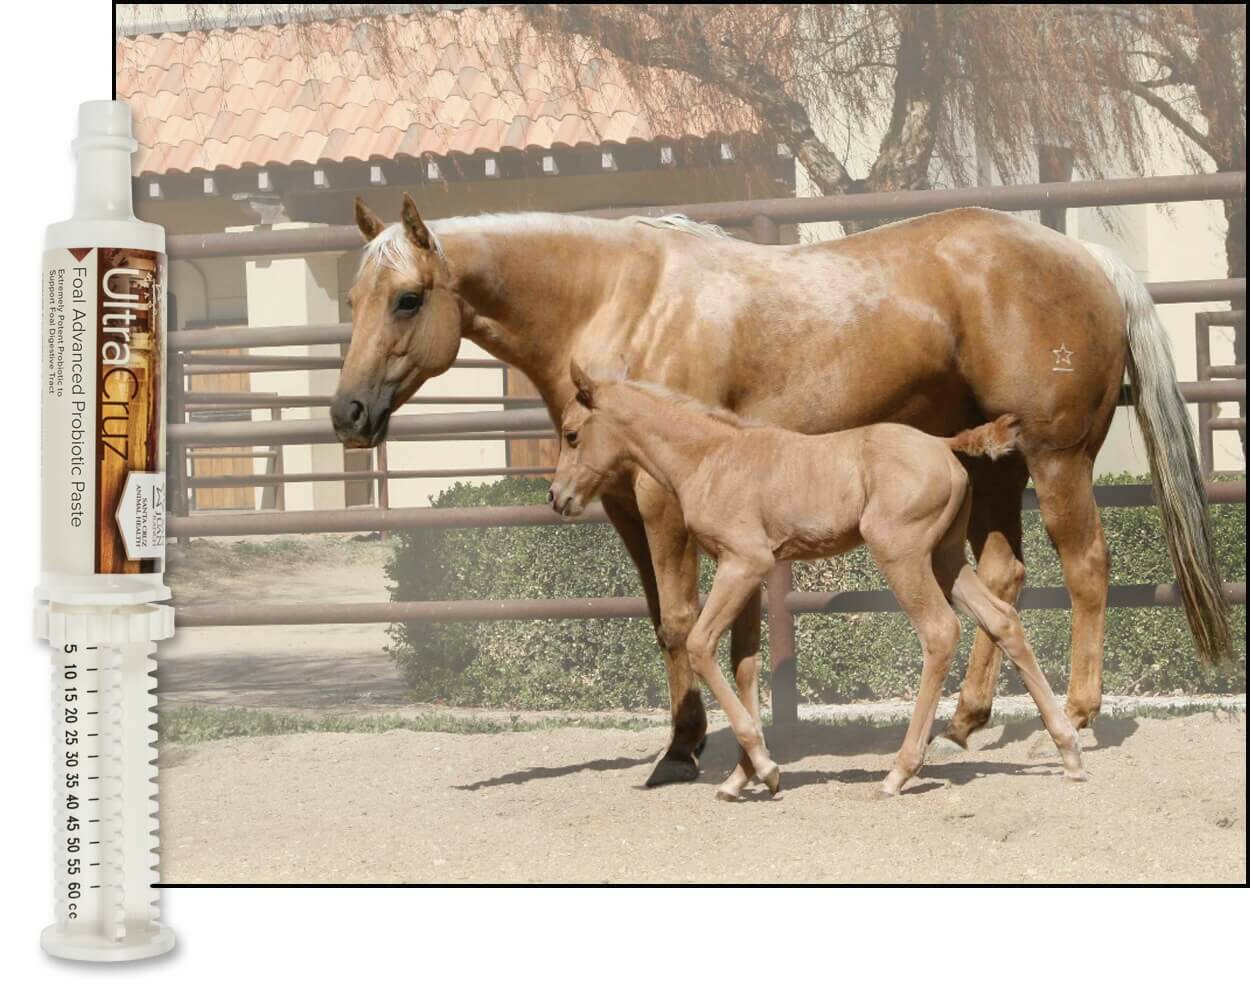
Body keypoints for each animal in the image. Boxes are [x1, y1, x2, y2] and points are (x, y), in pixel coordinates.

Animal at [548, 364, 1086, 798]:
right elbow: (745, 664)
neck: (710, 457)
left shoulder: (742, 564)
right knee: (1003, 619)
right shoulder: (747, 571)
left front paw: (765, 769)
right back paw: (1068, 751)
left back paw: (900, 771)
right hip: (946, 558)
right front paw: (742, 777)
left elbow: (701, 646)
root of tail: (942, 443)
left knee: (939, 632)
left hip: (903, 555)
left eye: (571, 434)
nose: (557, 497)